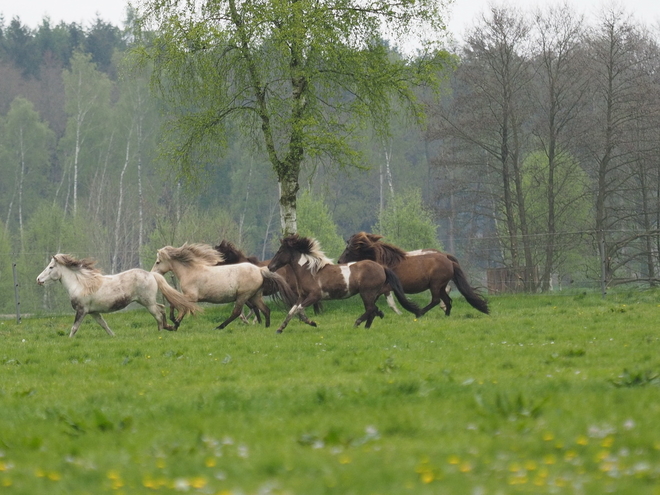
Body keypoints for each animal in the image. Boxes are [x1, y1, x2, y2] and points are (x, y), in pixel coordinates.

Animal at [36, 254, 199, 340]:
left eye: (51, 267)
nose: (38, 279)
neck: (81, 284)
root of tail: (151, 274)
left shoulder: (82, 311)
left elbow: (74, 328)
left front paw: (69, 340)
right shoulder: (94, 312)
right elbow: (104, 325)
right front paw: (113, 336)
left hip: (147, 303)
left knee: (158, 314)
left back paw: (160, 332)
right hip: (148, 302)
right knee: (162, 308)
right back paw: (169, 327)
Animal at [151, 243, 296, 332]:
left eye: (158, 262)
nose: (153, 273)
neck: (190, 271)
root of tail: (260, 270)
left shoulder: (191, 297)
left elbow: (178, 306)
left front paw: (174, 323)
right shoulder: (189, 297)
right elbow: (176, 305)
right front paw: (174, 324)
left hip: (243, 296)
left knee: (237, 312)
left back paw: (219, 327)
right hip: (255, 296)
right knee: (265, 310)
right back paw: (266, 327)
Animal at [266, 234, 420, 336]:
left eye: (280, 251)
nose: (270, 267)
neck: (309, 271)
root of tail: (381, 267)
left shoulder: (314, 296)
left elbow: (298, 310)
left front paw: (312, 323)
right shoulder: (302, 296)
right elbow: (292, 310)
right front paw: (280, 329)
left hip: (367, 293)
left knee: (371, 309)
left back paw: (357, 323)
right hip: (372, 294)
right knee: (372, 309)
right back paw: (368, 325)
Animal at [338, 233, 488, 318]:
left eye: (348, 248)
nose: (339, 261)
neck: (386, 262)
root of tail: (447, 259)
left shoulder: (386, 288)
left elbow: (386, 302)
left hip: (435, 285)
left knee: (436, 300)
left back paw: (420, 313)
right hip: (439, 285)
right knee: (447, 300)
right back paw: (446, 315)